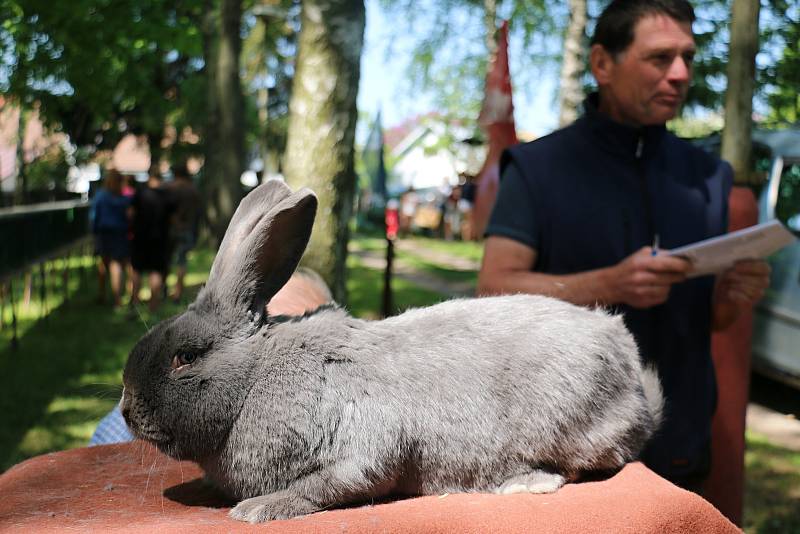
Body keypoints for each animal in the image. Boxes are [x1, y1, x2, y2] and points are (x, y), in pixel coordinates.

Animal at [122, 179, 664, 524]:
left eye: (185, 357)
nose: (126, 407)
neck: (255, 374)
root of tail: (628, 362)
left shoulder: (366, 442)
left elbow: (334, 481)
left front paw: (258, 509)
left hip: (566, 423)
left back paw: (524, 482)